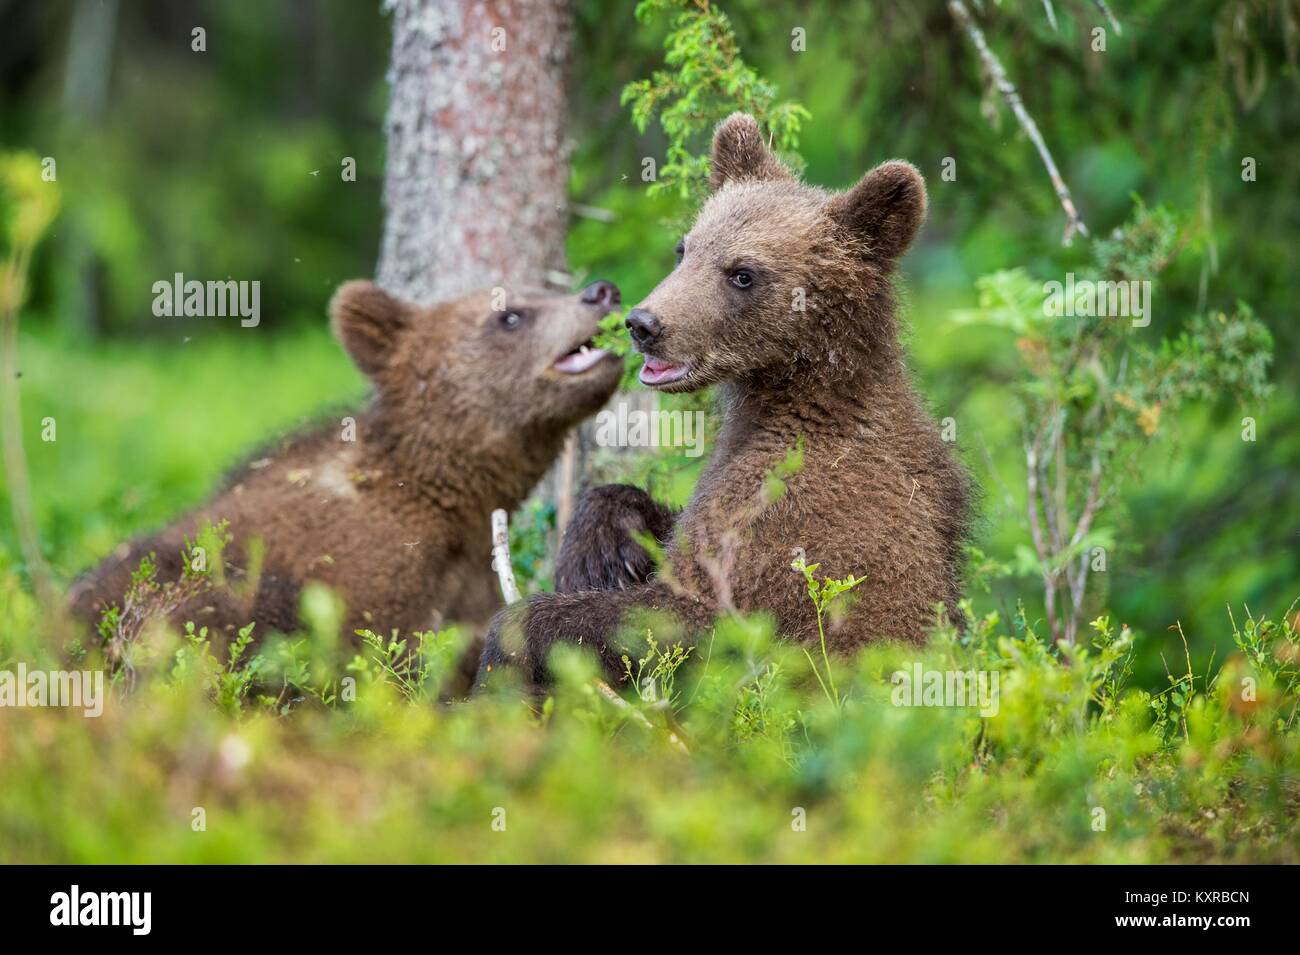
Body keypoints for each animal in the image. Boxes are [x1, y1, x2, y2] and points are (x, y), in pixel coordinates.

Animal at [478, 112, 971, 686]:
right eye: (685, 249)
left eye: (743, 273)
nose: (643, 323)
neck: (787, 398)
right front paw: (607, 542)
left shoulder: (794, 511)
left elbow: (690, 618)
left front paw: (506, 641)